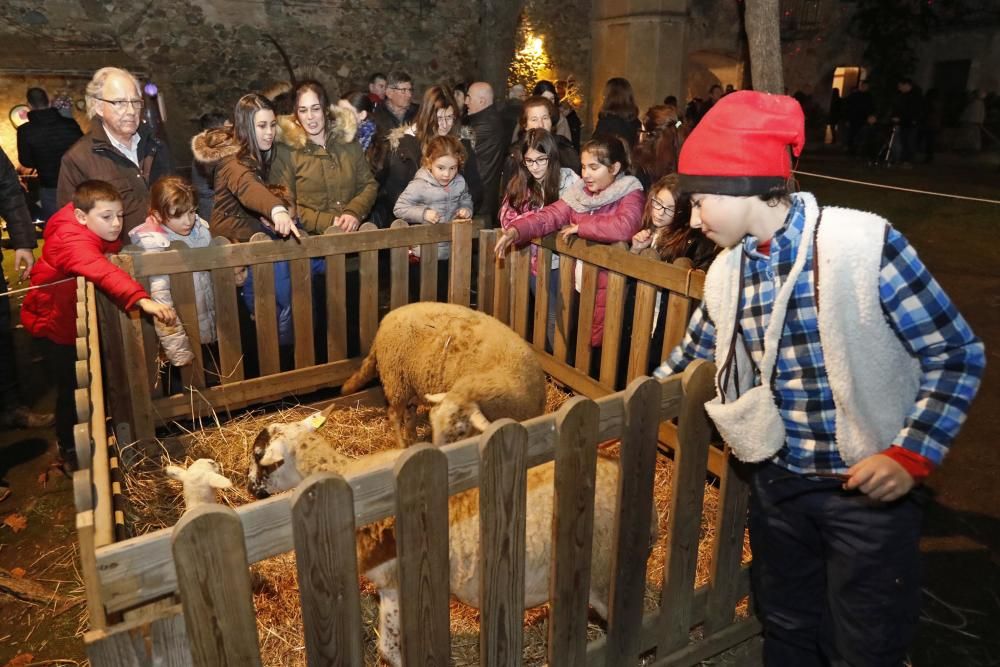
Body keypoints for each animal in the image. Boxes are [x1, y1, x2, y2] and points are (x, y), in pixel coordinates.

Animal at [247, 410, 660, 664]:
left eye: (258, 455)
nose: (249, 489)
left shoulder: (396, 582)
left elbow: (392, 645)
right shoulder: (391, 587)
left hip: (607, 567)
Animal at [338, 304, 544, 448]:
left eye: (460, 431)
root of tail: (385, 320)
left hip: (410, 384)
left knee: (409, 414)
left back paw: (413, 439)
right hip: (396, 381)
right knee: (394, 415)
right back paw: (402, 444)